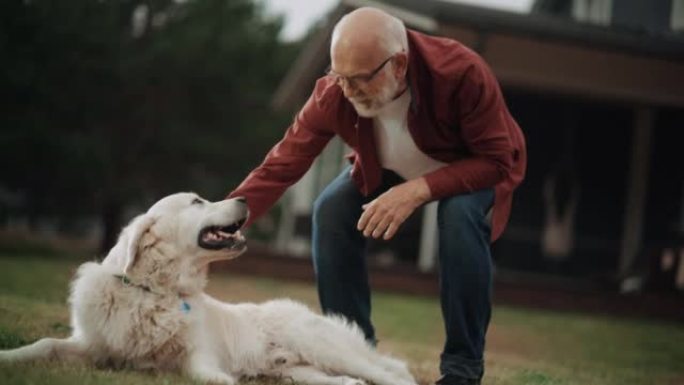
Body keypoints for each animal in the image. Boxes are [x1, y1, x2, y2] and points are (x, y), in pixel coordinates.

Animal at [0, 194, 416, 384]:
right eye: (197, 201)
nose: (244, 198)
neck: (153, 291)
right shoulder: (94, 345)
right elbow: (45, 345)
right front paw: (10, 356)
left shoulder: (199, 353)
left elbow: (205, 373)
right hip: (300, 372)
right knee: (347, 380)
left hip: (321, 345)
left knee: (393, 376)